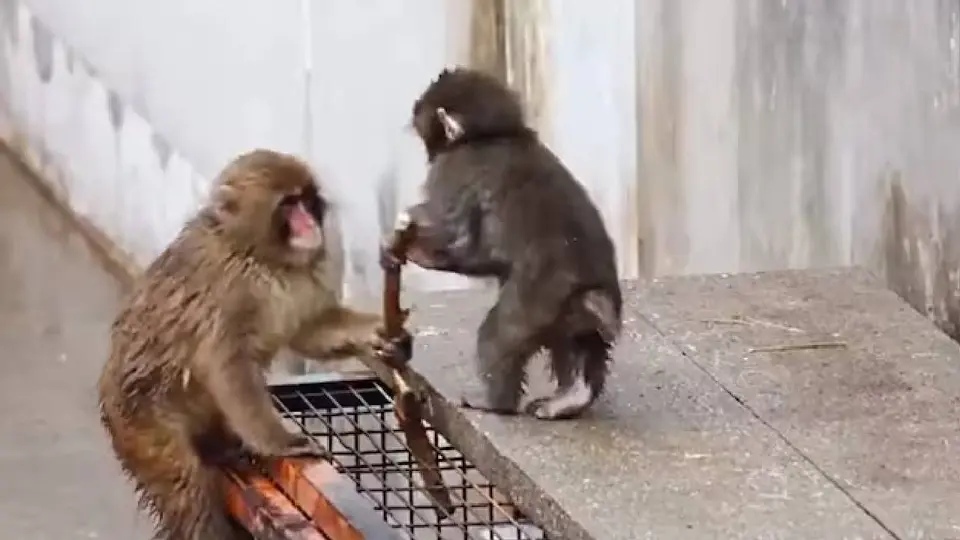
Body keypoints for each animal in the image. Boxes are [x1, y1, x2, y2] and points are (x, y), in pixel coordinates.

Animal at [97, 149, 411, 540]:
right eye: (289, 205)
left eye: (307, 199)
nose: (310, 223)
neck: (262, 258)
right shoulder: (229, 293)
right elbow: (229, 365)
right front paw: (281, 441)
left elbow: (309, 331)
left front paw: (381, 333)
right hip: (143, 425)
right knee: (189, 494)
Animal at [382, 66, 623, 421]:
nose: (429, 153)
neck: (494, 135)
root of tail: (592, 290)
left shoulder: (452, 171)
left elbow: (460, 241)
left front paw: (403, 245)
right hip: (571, 314)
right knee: (578, 343)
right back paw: (571, 398)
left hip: (537, 303)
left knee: (498, 336)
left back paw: (496, 403)